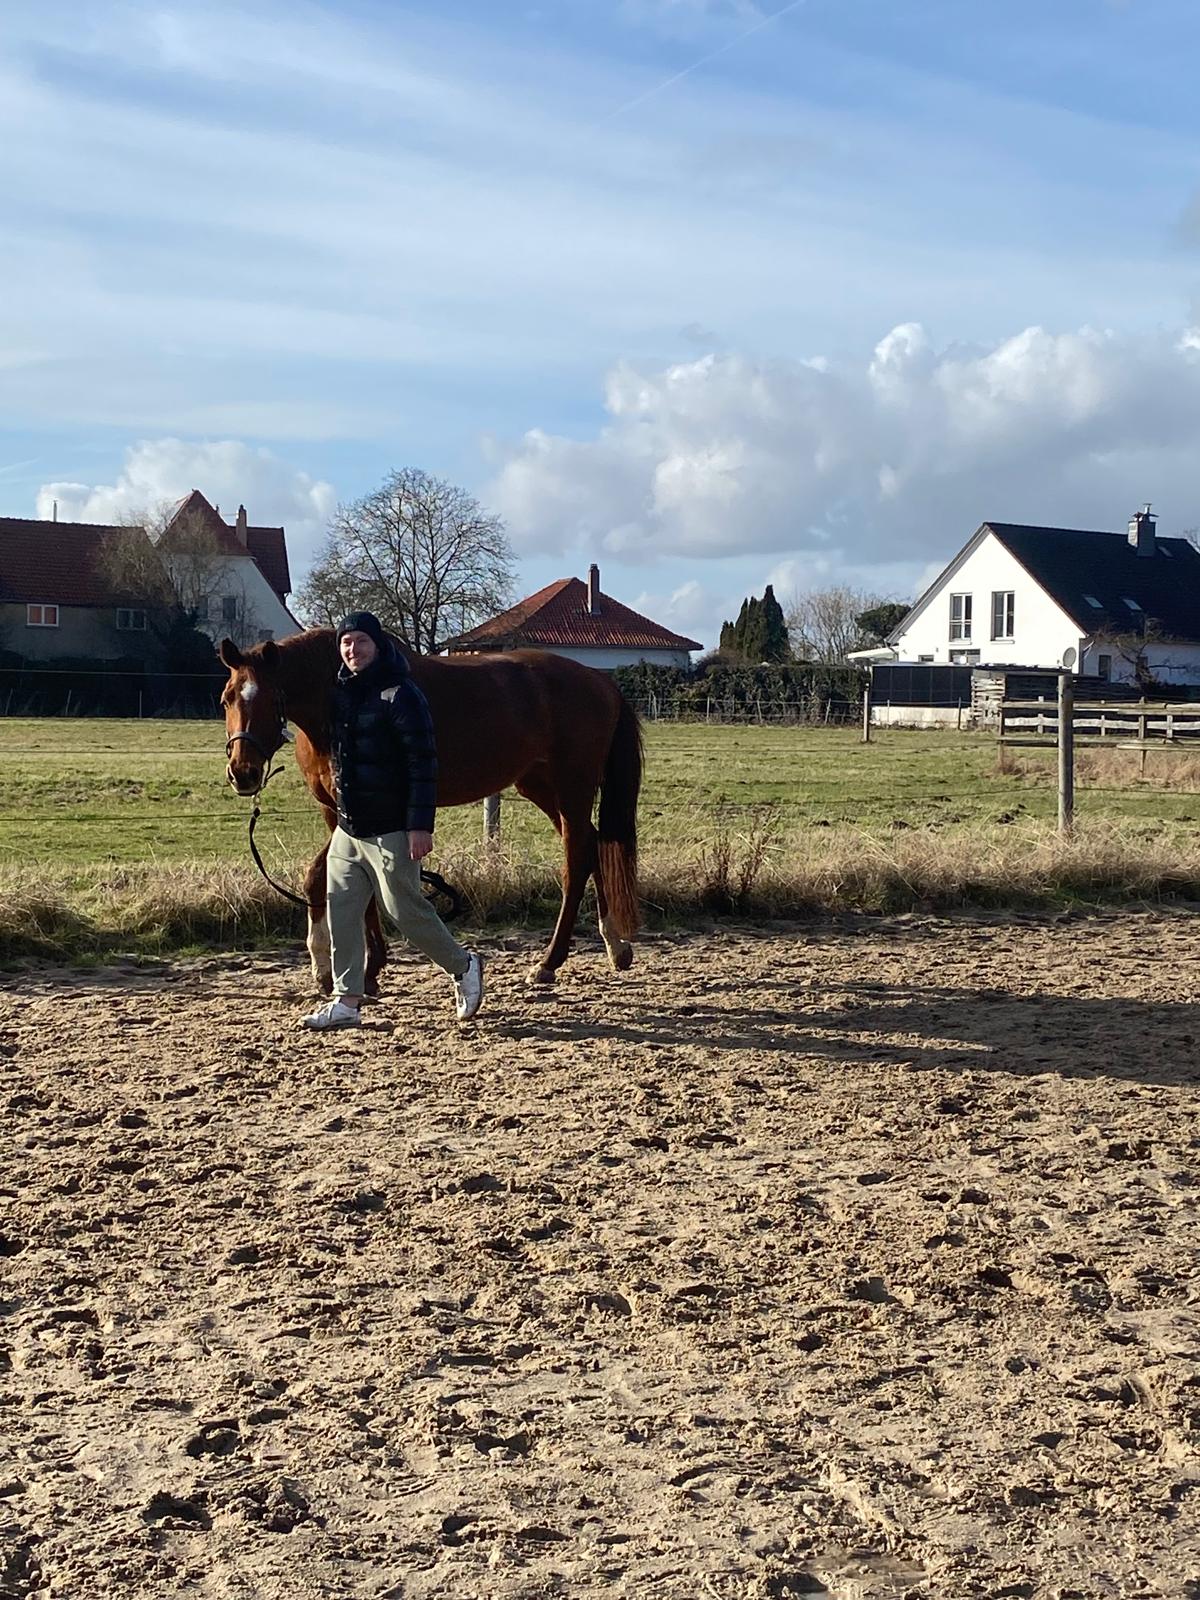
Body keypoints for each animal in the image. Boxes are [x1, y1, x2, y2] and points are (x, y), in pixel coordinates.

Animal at [217, 628, 643, 989]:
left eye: (272, 698)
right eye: (226, 698)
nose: (243, 773)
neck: (341, 700)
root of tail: (600, 681)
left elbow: (324, 876)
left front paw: (339, 968)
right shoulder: (337, 812)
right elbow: (341, 879)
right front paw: (356, 969)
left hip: (572, 788)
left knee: (576, 861)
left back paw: (549, 963)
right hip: (539, 786)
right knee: (592, 846)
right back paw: (615, 947)